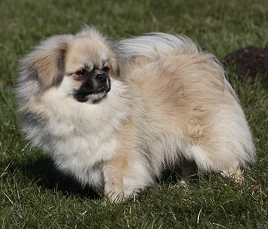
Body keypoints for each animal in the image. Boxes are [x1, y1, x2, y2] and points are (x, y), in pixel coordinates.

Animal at [16, 25, 255, 200]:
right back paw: (181, 188)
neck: (86, 110)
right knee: (190, 166)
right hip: (182, 144)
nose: (103, 77)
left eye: (105, 68)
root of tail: (199, 61)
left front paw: (110, 205)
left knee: (230, 164)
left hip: (207, 143)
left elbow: (115, 182)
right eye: (81, 73)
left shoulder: (118, 157)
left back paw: (237, 188)